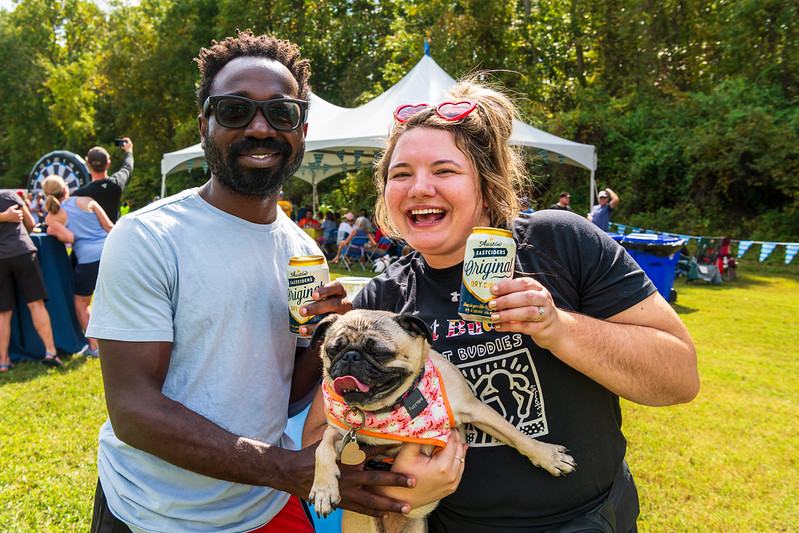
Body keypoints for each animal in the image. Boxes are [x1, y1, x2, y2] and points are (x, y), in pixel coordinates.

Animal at [306, 310, 576, 528]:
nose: (350, 357)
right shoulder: (340, 434)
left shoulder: (475, 408)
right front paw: (323, 489)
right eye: (332, 351)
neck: (394, 404)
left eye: (379, 353)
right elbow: (322, 448)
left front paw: (548, 456)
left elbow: (517, 436)